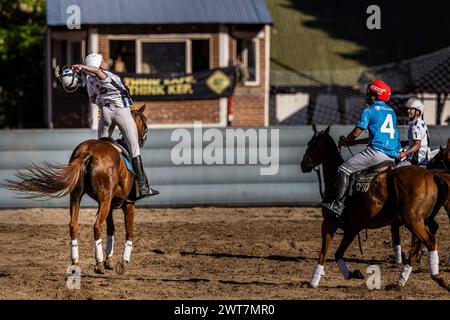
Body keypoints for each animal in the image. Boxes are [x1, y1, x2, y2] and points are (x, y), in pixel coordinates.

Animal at [5, 105, 149, 276]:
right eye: (145, 123)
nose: (143, 140)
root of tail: (87, 152)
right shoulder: (128, 204)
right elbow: (129, 232)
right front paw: (122, 263)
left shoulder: (109, 206)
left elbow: (111, 229)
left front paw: (109, 261)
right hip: (104, 200)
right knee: (97, 226)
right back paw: (98, 264)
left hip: (77, 196)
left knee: (73, 225)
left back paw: (75, 262)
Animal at [298, 125, 450, 290]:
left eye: (311, 144)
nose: (303, 164)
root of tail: (432, 175)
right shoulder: (352, 228)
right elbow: (338, 254)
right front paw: (352, 274)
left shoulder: (329, 223)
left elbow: (323, 253)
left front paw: (313, 281)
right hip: (418, 220)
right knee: (418, 244)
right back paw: (400, 281)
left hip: (413, 220)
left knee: (430, 241)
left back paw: (436, 276)